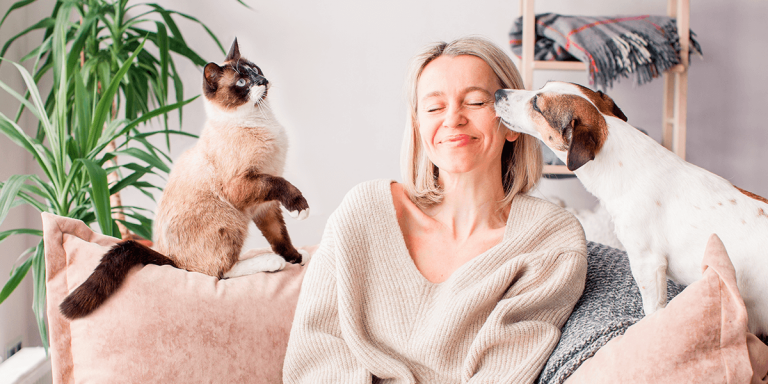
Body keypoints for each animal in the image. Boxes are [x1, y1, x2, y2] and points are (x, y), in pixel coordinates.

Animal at [60, 39, 308, 320]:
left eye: (255, 70)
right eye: (242, 82)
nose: (263, 81)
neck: (260, 120)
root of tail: (171, 260)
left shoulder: (264, 204)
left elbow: (279, 235)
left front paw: (295, 258)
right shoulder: (246, 185)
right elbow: (283, 188)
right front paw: (300, 209)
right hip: (229, 218)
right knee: (216, 272)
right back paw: (271, 263)